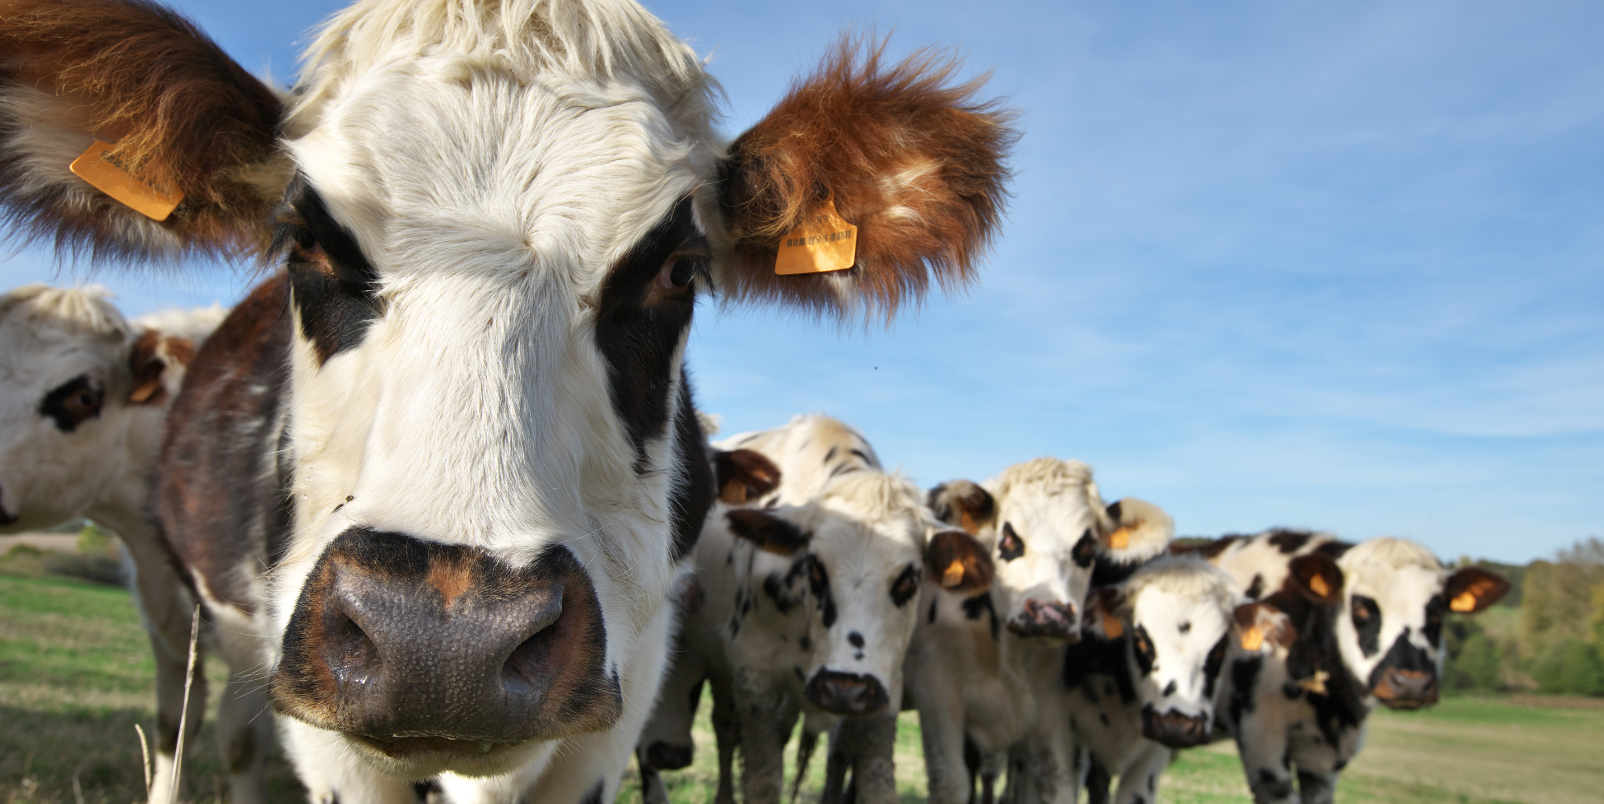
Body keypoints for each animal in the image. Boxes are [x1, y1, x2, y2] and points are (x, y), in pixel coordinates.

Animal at [712, 414, 955, 804]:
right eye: (814, 567)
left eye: (910, 578)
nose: (844, 689)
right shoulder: (753, 675)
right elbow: (762, 780)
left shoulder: (884, 688)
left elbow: (875, 782)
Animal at [917, 460, 1173, 804]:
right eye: (1008, 539)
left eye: (1088, 546)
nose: (1050, 614)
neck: (1007, 655)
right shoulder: (938, 694)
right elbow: (952, 783)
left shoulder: (1054, 715)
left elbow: (1056, 787)